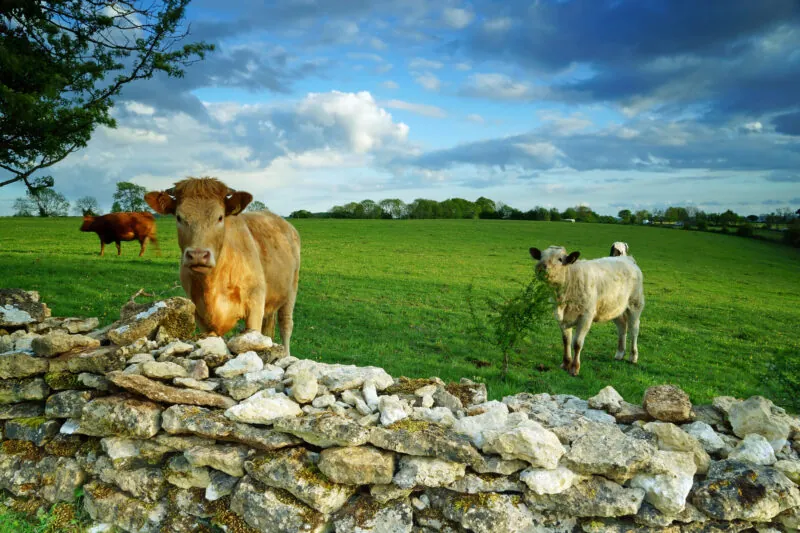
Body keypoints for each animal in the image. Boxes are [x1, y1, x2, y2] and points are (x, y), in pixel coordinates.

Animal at [144, 177, 301, 354]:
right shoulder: (200, 315)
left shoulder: (255, 305)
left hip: (291, 290)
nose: (198, 255)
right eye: (179, 217)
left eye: (220, 217)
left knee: (286, 325)